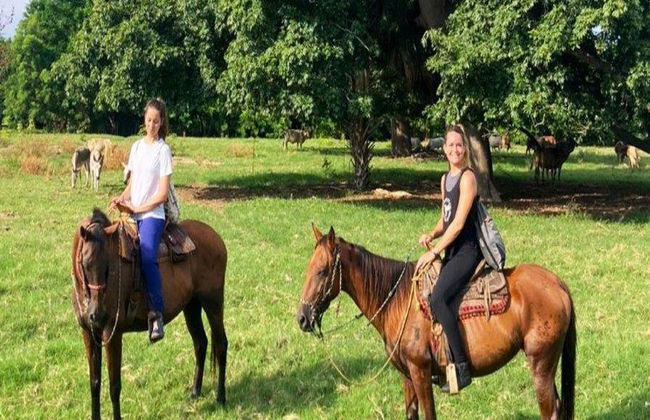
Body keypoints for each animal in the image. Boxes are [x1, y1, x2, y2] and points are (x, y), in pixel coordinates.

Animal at [71, 209, 228, 420]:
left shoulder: (112, 334)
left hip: (213, 303)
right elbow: (94, 383)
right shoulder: (88, 333)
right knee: (200, 343)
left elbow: (114, 386)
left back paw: (220, 398)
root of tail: (216, 237)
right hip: (191, 305)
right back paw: (195, 392)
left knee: (221, 344)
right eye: (86, 263)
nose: (96, 314)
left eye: (109, 266)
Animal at [296, 226, 576, 420]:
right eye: (308, 268)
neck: (397, 301)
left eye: (322, 271)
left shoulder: (420, 371)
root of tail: (558, 284)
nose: (302, 317)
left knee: (550, 410)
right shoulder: (407, 376)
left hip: (541, 363)